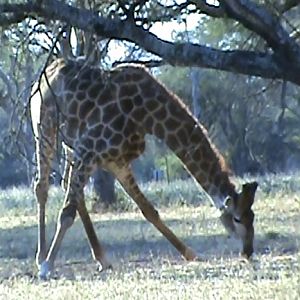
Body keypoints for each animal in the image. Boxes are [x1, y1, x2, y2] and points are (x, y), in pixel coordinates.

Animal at [31, 58, 258, 278]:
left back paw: (102, 258)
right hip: (44, 128)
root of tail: (47, 72)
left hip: (70, 146)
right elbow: (66, 213)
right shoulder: (89, 148)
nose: (248, 251)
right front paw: (47, 267)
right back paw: (41, 257)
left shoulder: (115, 160)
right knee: (42, 186)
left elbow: (149, 210)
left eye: (253, 217)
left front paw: (190, 253)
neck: (148, 116)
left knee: (69, 188)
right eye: (237, 219)